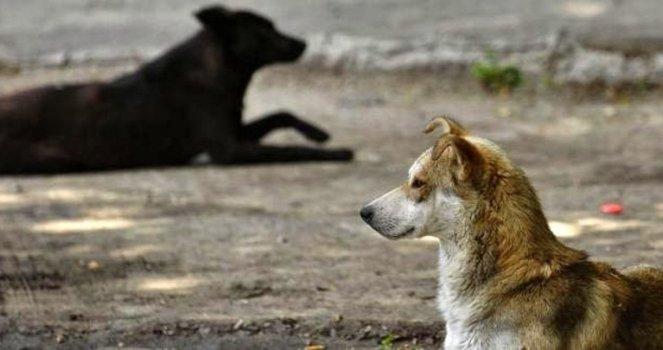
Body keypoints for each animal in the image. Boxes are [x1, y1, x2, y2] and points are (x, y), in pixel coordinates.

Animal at [0, 4, 352, 174]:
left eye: (273, 26)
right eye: (263, 30)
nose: (303, 43)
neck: (215, 69)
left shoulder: (235, 131)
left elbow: (282, 113)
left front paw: (317, 133)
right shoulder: (229, 149)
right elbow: (291, 150)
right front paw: (335, 152)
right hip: (53, 159)